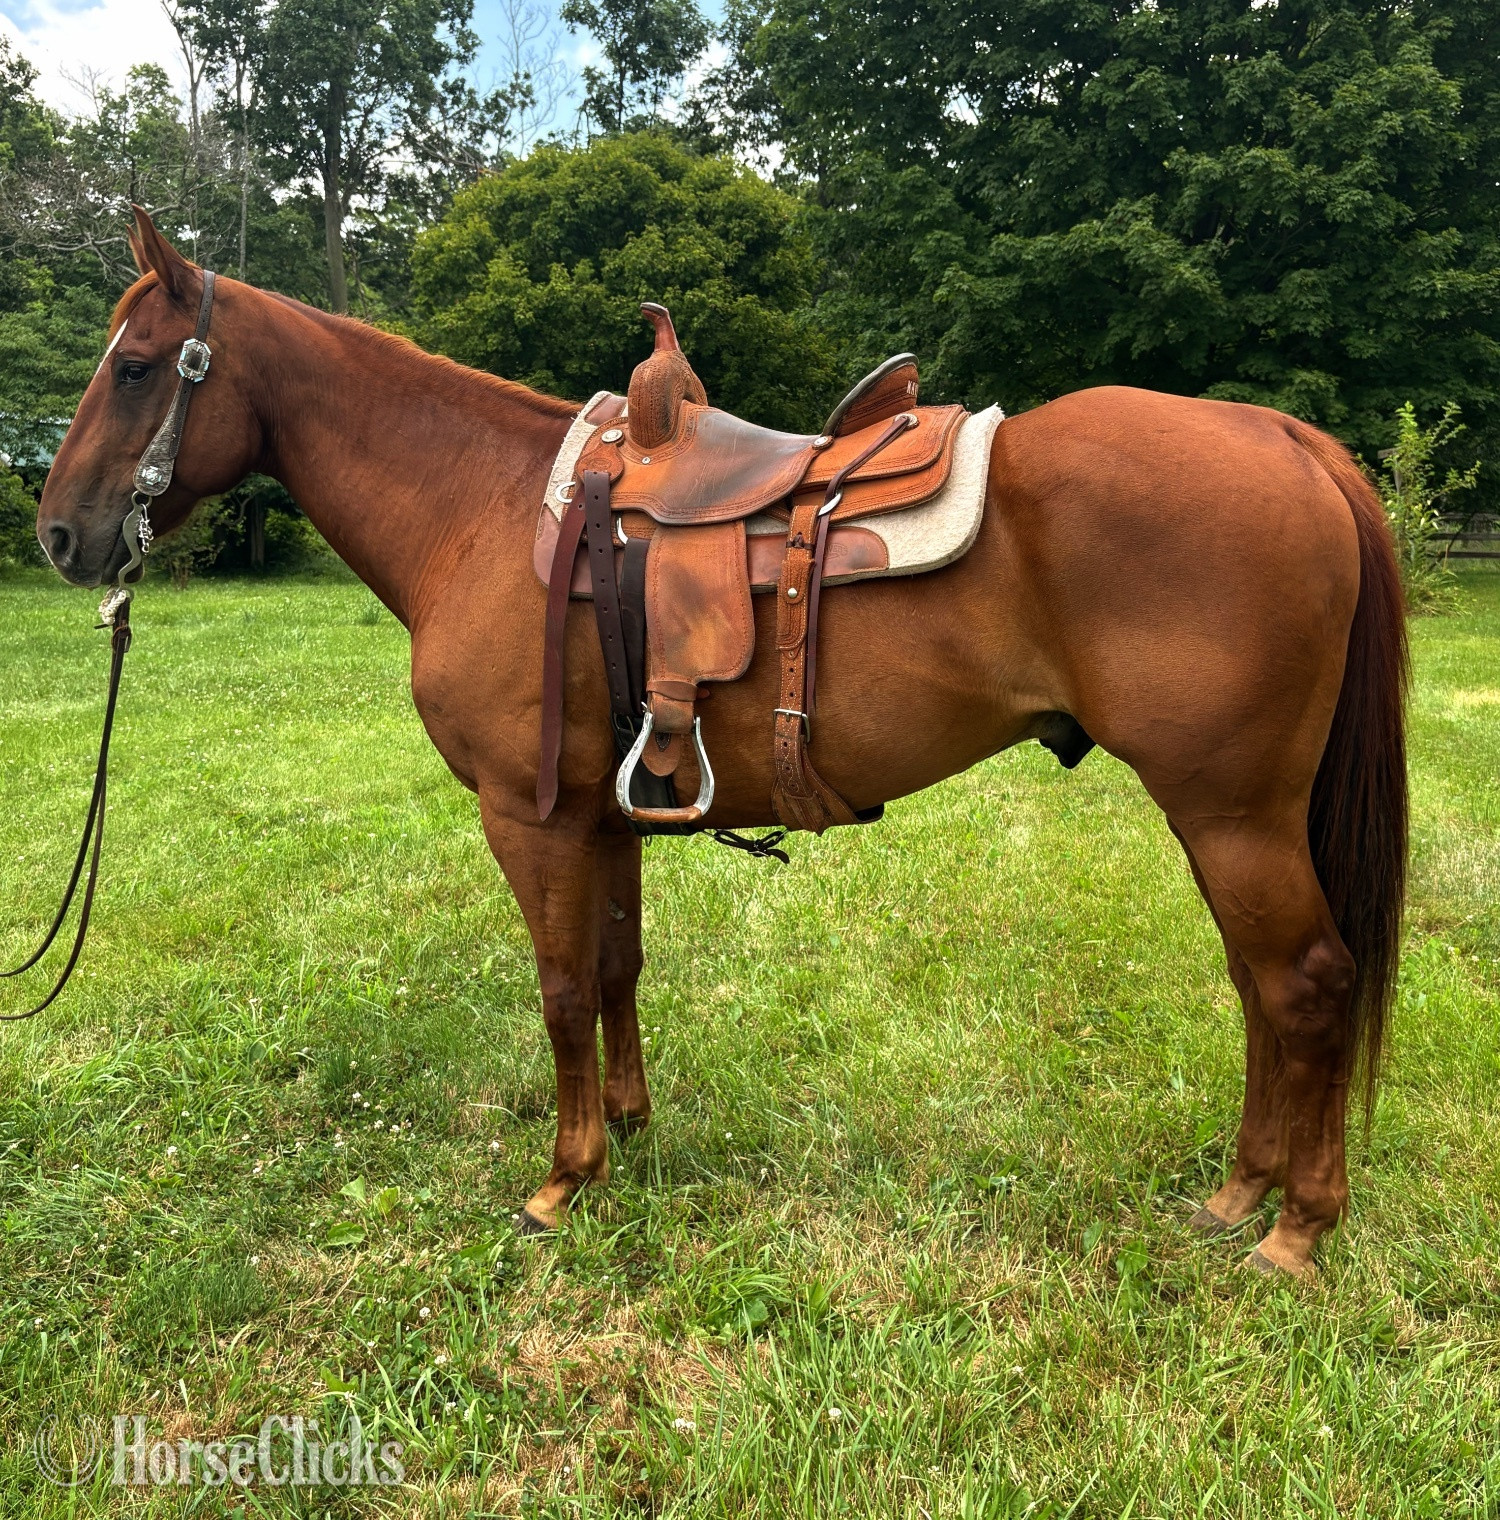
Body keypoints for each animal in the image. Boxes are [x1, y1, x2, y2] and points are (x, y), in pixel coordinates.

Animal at [32, 209, 1406, 1278]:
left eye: (140, 367)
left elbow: (561, 985)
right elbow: (618, 969)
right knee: (1257, 984)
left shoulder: (528, 815)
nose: (57, 534)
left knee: (1305, 982)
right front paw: (632, 1134)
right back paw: (1238, 1194)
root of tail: (1286, 438)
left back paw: (1298, 1228)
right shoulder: (605, 810)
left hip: (1231, 812)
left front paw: (563, 1176)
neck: (482, 509)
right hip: (1223, 816)